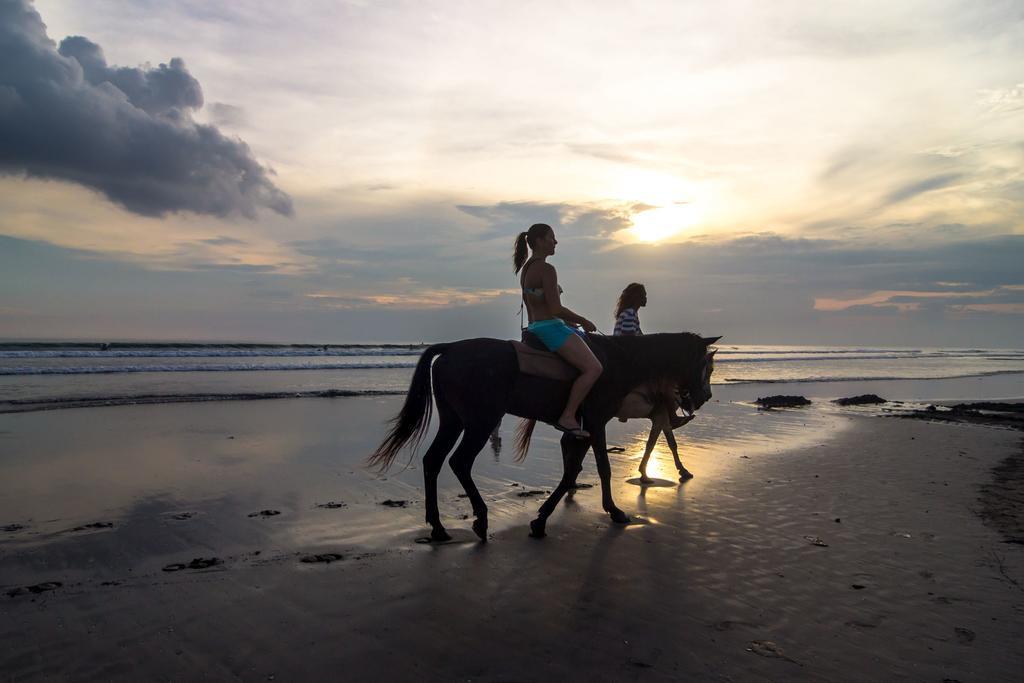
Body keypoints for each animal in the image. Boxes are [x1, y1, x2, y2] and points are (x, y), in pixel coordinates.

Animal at [370, 333, 720, 540]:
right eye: (708, 365)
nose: (705, 396)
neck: (621, 361)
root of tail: (452, 349)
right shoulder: (596, 422)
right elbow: (600, 469)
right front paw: (614, 511)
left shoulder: (582, 429)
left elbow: (572, 472)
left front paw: (542, 518)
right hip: (481, 421)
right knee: (459, 462)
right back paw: (480, 519)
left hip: (454, 420)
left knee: (433, 460)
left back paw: (439, 527)